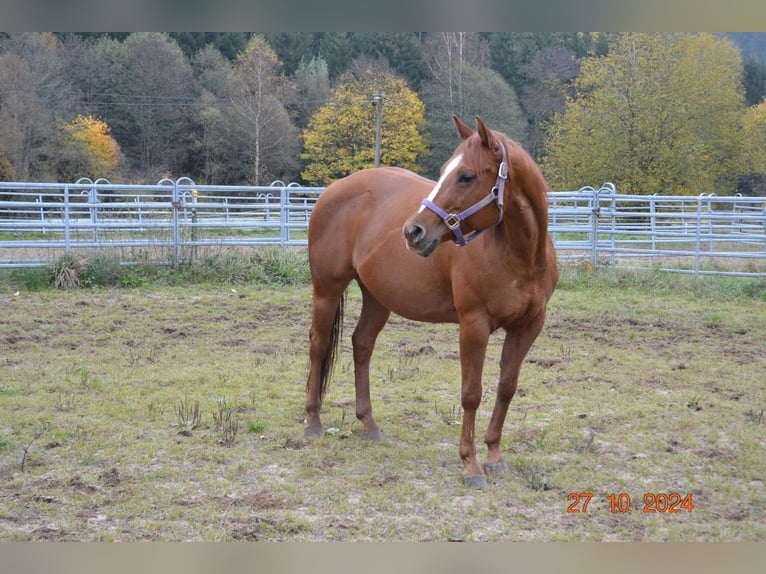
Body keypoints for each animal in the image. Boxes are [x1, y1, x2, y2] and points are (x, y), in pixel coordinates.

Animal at [304, 117, 560, 490]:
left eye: (466, 176)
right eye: (443, 172)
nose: (414, 232)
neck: (519, 255)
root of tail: (332, 190)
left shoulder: (528, 327)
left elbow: (506, 388)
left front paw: (495, 456)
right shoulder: (474, 324)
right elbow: (471, 393)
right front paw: (471, 464)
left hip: (376, 297)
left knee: (361, 345)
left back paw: (369, 424)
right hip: (327, 290)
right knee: (319, 346)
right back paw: (313, 422)